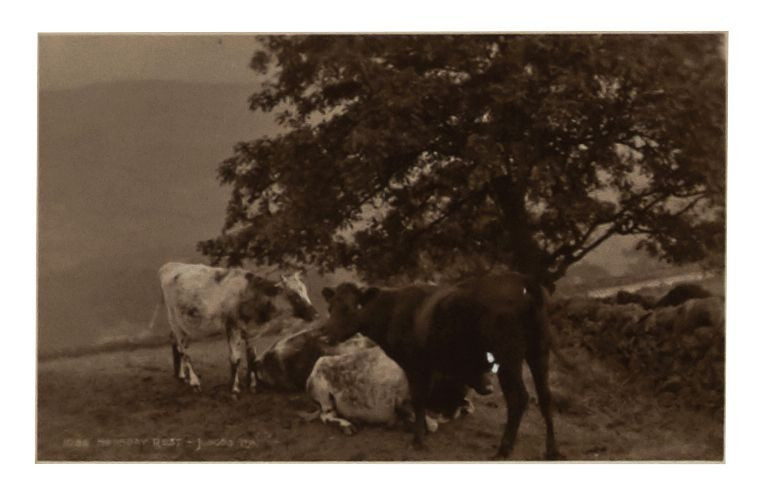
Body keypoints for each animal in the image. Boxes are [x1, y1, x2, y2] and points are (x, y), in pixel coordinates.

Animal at [154, 262, 318, 398]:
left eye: (305, 291)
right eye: (293, 295)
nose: (315, 313)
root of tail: (171, 265)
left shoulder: (253, 332)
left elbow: (252, 358)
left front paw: (253, 386)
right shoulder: (233, 328)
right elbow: (235, 359)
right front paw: (233, 389)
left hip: (183, 325)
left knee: (174, 342)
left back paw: (182, 376)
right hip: (174, 321)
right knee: (183, 351)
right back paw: (194, 382)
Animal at [320, 274, 564, 460]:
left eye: (349, 307)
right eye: (330, 307)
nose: (325, 334)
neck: (392, 312)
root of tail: (523, 281)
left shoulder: (415, 364)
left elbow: (418, 399)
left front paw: (418, 441)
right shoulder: (429, 367)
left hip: (508, 357)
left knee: (519, 399)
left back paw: (503, 450)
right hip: (539, 351)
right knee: (545, 396)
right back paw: (551, 450)